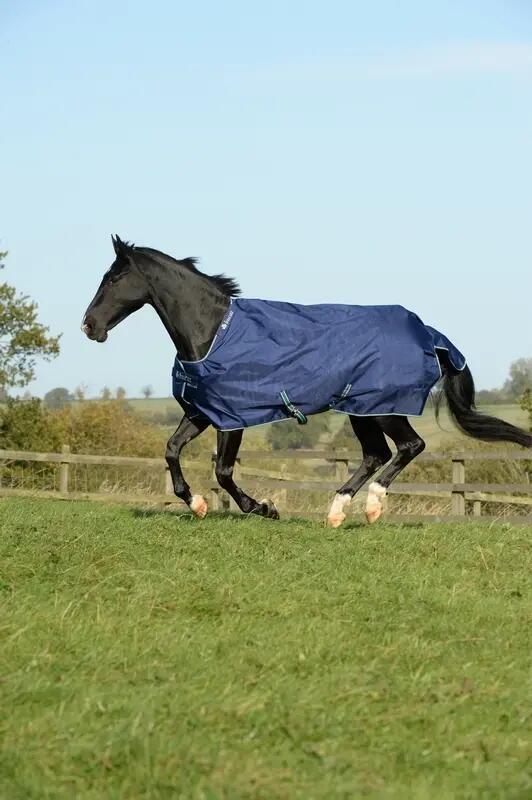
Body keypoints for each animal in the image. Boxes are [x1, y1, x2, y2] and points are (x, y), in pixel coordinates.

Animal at [82, 235, 532, 527]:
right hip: (359, 411)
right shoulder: (201, 412)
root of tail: (429, 334)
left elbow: (224, 471)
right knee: (375, 454)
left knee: (409, 446)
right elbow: (172, 450)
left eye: (114, 278)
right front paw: (195, 504)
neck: (213, 332)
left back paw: (372, 506)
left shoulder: (232, 417)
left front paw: (264, 508)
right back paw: (336, 511)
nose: (89, 326)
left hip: (382, 407)